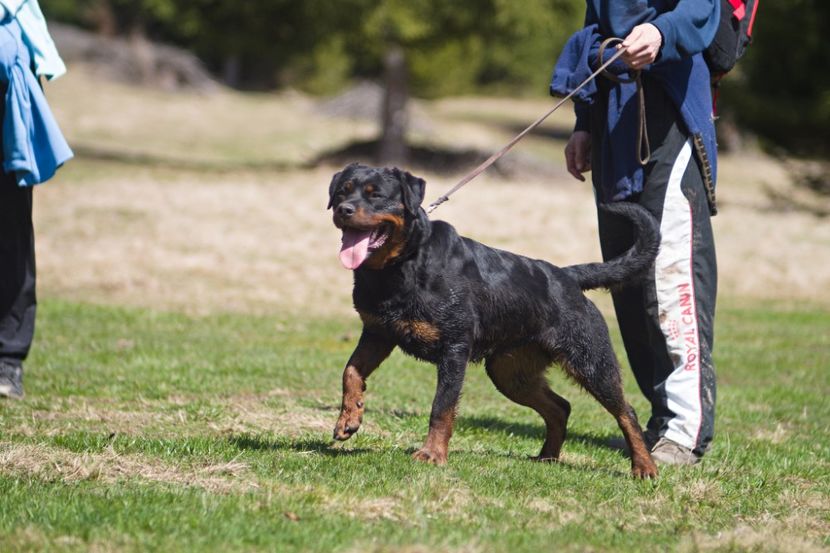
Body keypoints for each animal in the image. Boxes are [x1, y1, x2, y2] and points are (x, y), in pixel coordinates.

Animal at [328, 162, 660, 476]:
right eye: (342, 192)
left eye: (375, 195)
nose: (344, 209)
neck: (401, 265)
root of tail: (567, 276)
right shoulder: (378, 333)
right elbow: (350, 371)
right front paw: (349, 418)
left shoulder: (454, 347)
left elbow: (442, 406)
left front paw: (432, 454)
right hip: (510, 372)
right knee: (560, 407)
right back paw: (547, 457)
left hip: (590, 359)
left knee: (626, 412)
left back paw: (644, 467)